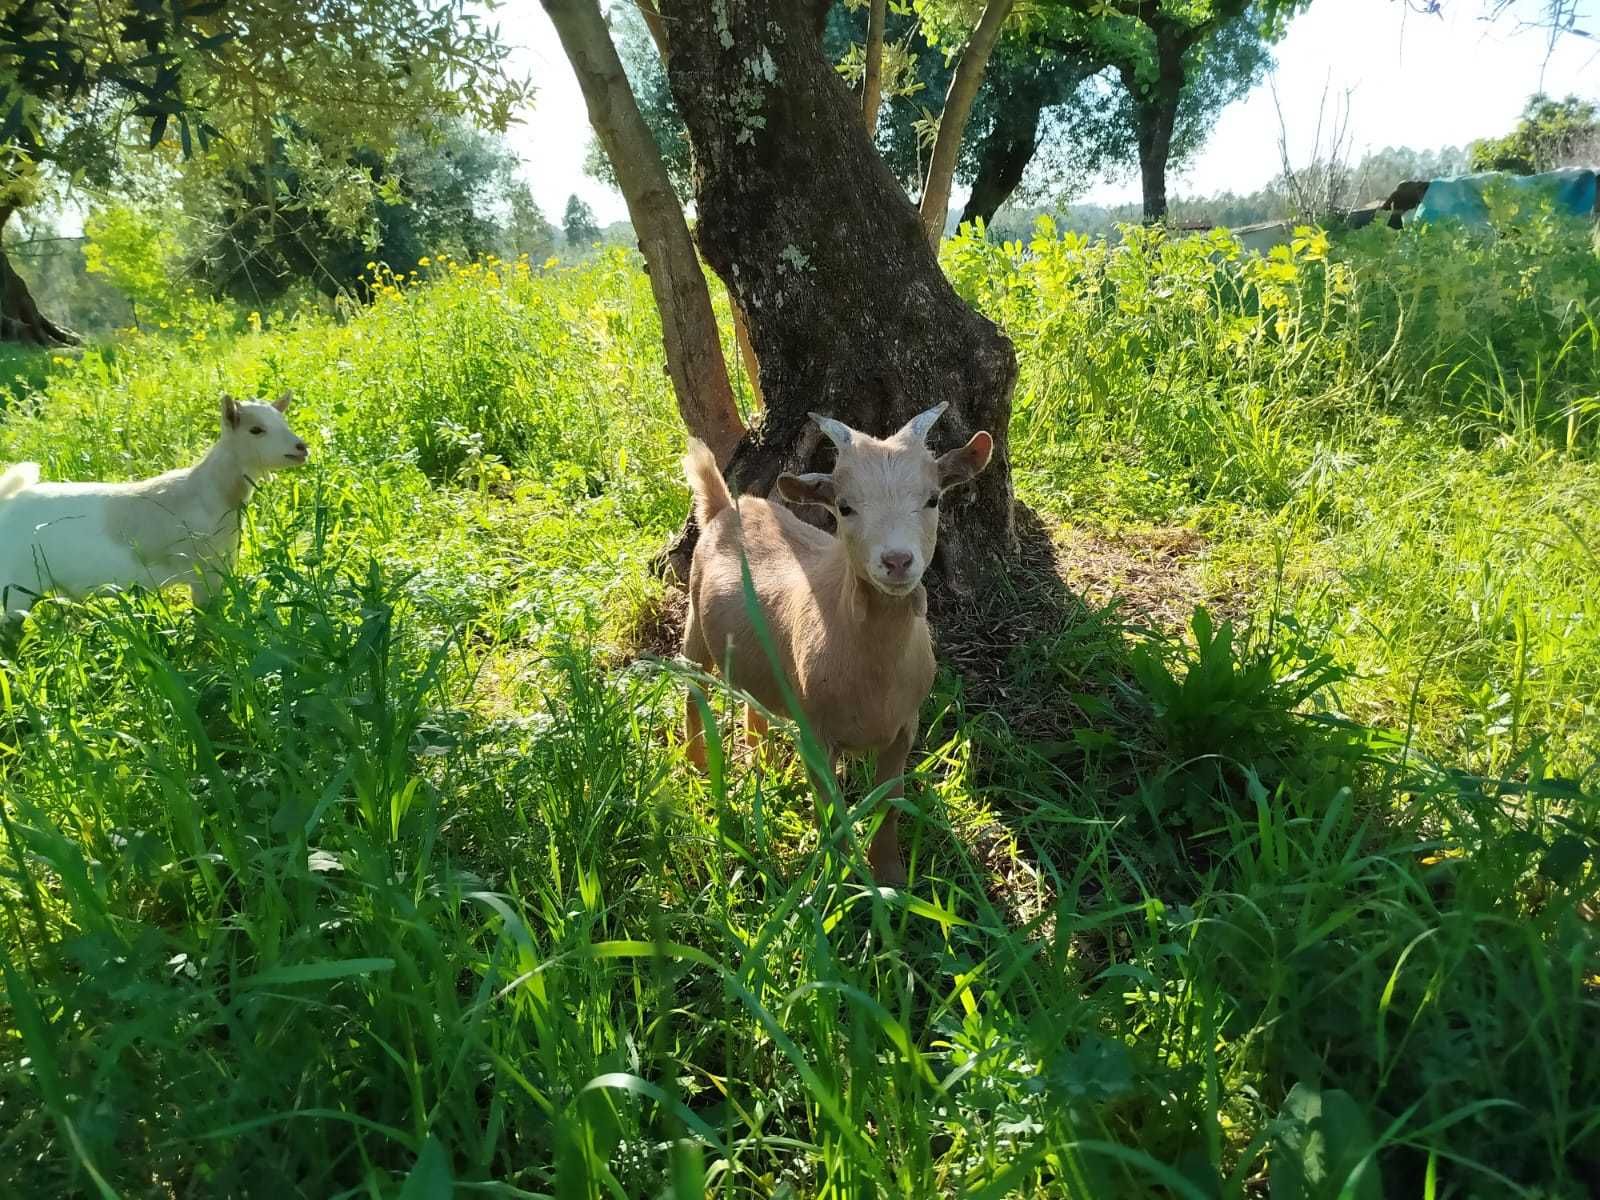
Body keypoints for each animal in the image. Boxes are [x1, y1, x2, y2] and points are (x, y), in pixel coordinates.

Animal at [0, 395, 308, 620]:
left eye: (284, 420)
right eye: (256, 430)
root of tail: (9, 499)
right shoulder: (204, 575)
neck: (208, 492)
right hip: (15, 587)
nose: (302, 447)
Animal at [681, 409, 992, 889]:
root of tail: (726, 506)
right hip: (696, 617)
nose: (897, 561)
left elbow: (888, 805)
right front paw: (841, 883)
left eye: (933, 499)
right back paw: (699, 767)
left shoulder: (904, 727)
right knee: (692, 688)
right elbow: (834, 814)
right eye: (845, 507)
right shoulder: (817, 736)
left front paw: (891, 880)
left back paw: (762, 763)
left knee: (753, 698)